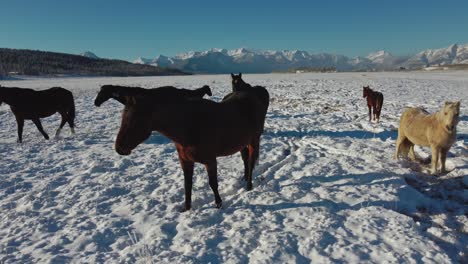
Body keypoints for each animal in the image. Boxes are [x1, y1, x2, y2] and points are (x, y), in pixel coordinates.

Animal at [114, 87, 266, 211]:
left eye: (136, 120)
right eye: (123, 117)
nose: (119, 148)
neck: (189, 126)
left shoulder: (210, 161)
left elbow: (213, 183)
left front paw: (219, 204)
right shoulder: (185, 161)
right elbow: (187, 185)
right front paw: (186, 207)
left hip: (254, 140)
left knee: (251, 161)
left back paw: (249, 185)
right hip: (242, 142)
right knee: (245, 159)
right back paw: (244, 178)